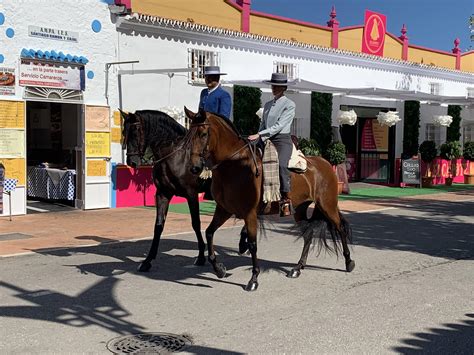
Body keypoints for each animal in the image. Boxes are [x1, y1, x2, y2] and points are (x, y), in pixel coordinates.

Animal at [183, 108, 354, 292]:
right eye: (189, 134)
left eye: (203, 134)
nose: (194, 167)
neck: (234, 166)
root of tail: (325, 163)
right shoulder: (224, 210)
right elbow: (209, 233)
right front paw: (220, 269)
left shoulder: (249, 213)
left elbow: (253, 244)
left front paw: (253, 279)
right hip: (300, 209)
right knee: (308, 234)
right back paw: (297, 268)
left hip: (327, 205)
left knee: (339, 228)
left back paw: (349, 262)